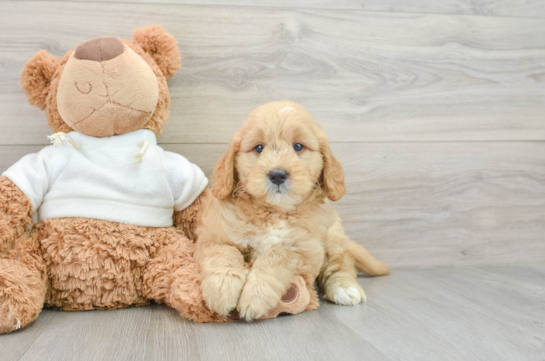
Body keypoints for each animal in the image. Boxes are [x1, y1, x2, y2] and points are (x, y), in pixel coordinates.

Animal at [194, 100, 386, 320]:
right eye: (259, 148)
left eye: (298, 146)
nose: (277, 174)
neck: (275, 211)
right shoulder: (211, 237)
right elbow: (224, 253)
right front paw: (221, 289)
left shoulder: (307, 250)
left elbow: (278, 253)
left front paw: (255, 296)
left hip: (333, 235)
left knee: (341, 262)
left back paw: (345, 288)